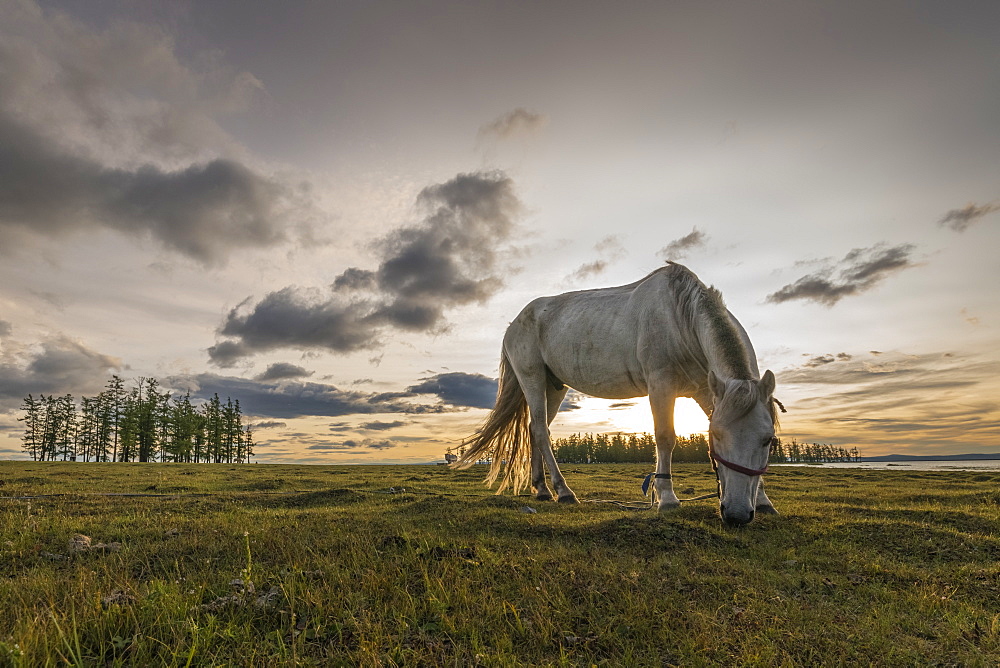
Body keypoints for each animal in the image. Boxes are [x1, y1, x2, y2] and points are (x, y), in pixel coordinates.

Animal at [454, 260, 780, 528]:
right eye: (717, 437)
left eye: (768, 440)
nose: (737, 514)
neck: (681, 318)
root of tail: (514, 323)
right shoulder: (661, 385)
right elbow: (665, 436)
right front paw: (667, 498)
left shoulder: (706, 391)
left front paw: (763, 501)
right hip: (532, 378)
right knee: (542, 432)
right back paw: (563, 491)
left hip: (553, 387)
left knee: (537, 429)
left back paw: (542, 490)